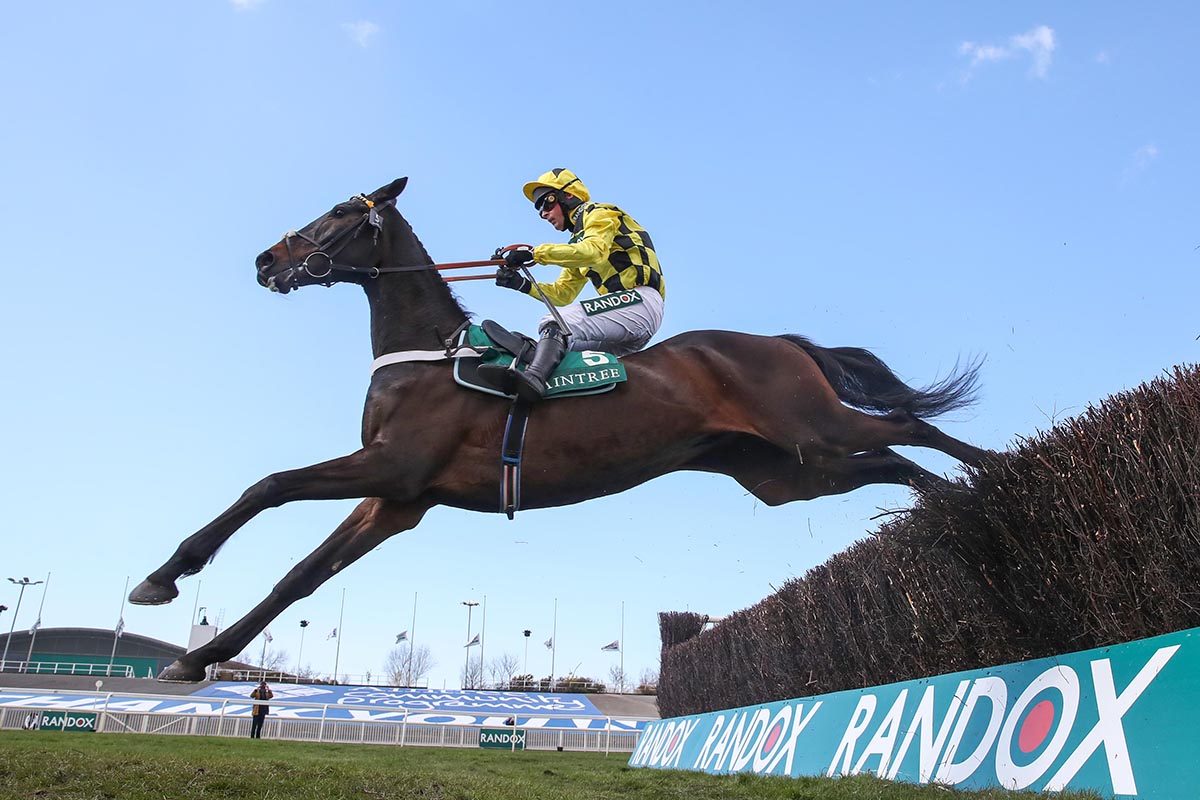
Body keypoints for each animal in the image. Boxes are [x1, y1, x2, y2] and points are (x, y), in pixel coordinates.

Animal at [129, 178, 984, 681]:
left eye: (340, 214)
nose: (266, 260)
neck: (430, 352)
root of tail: (777, 341)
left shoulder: (392, 466)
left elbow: (268, 484)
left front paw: (165, 575)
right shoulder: (398, 500)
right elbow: (301, 576)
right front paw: (200, 657)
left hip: (808, 425)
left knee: (906, 424)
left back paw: (992, 474)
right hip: (788, 470)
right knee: (888, 460)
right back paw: (947, 506)